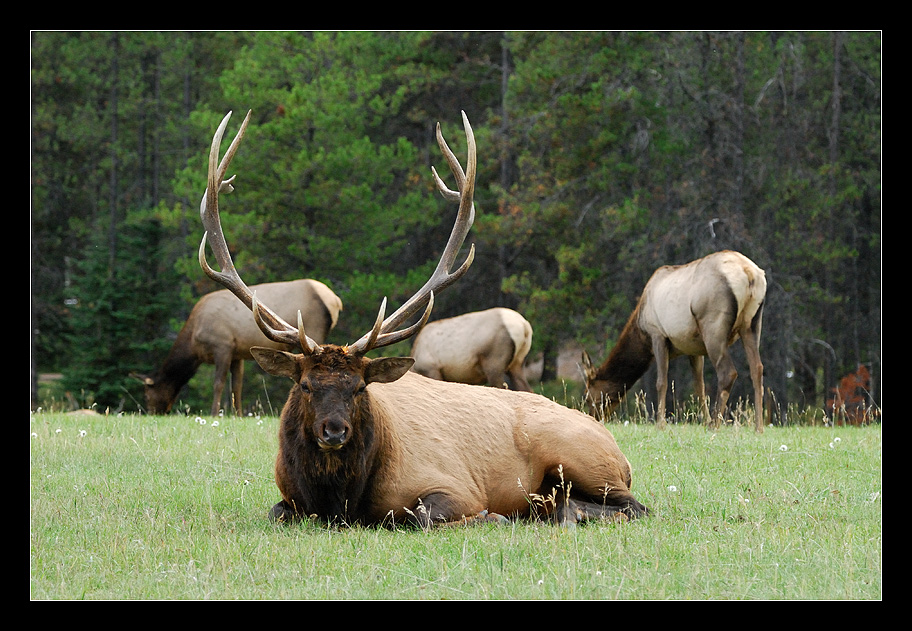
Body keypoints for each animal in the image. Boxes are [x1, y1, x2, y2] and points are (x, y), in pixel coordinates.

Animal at [136, 278, 346, 418]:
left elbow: (218, 383)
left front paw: (214, 414)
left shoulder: (223, 345)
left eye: (147, 394)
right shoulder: (238, 354)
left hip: (313, 327)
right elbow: (236, 386)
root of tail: (336, 300)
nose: (152, 412)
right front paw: (237, 414)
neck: (194, 343)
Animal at [580, 252, 764, 434]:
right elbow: (699, 386)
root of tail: (749, 273)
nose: (593, 418)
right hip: (752, 324)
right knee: (757, 369)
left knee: (728, 373)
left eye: (588, 397)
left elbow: (661, 382)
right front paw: (704, 421)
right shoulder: (693, 348)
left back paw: (715, 425)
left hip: (713, 327)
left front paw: (660, 424)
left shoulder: (657, 334)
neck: (640, 328)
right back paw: (758, 427)